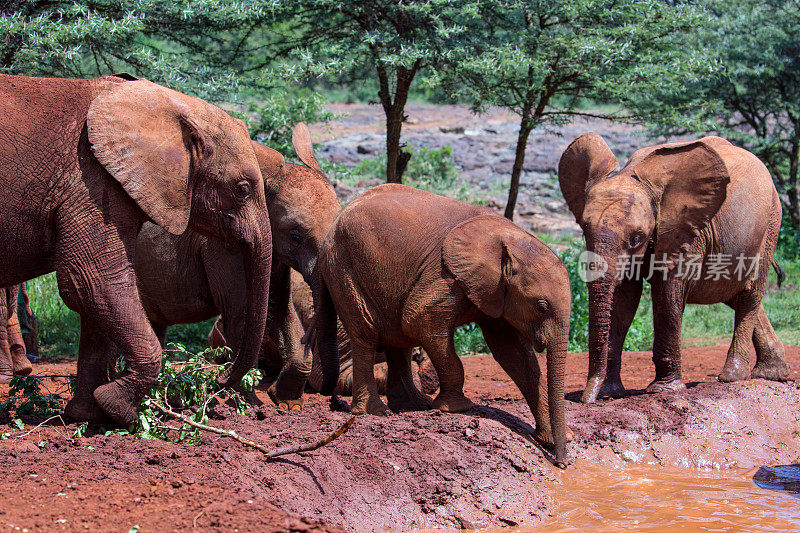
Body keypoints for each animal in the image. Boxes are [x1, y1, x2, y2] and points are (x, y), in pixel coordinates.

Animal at [0, 74, 272, 424]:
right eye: (242, 190)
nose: (219, 380)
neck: (169, 105)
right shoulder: (89, 181)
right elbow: (93, 282)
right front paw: (120, 410)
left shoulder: (101, 184)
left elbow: (95, 294)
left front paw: (87, 415)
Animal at [138, 124, 338, 408]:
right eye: (295, 235)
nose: (218, 379)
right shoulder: (222, 247)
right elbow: (242, 313)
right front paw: (245, 402)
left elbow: (278, 309)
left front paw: (286, 403)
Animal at [316, 184, 572, 466]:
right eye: (541, 306)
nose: (562, 463)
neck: (510, 239)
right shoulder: (446, 276)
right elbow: (419, 320)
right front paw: (458, 408)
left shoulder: (495, 292)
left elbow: (513, 354)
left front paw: (553, 438)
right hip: (343, 268)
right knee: (367, 333)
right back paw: (375, 412)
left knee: (397, 338)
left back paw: (415, 406)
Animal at [560, 134, 792, 404]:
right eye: (584, 231)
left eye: (637, 238)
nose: (586, 400)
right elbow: (624, 297)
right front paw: (610, 393)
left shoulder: (686, 231)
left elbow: (667, 292)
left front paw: (664, 390)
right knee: (734, 295)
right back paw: (771, 373)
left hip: (770, 225)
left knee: (749, 294)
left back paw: (733, 376)